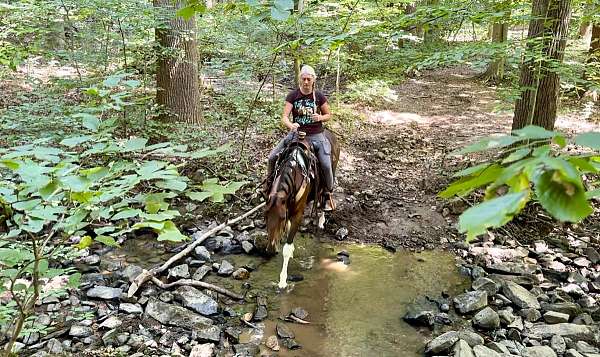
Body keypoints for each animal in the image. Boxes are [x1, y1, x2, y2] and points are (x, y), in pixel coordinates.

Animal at [264, 129, 340, 288]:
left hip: (331, 170)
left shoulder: (297, 215)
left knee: (325, 194)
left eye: (281, 218)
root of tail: (330, 133)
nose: (270, 250)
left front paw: (282, 281)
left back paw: (322, 220)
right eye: (265, 216)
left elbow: (287, 248)